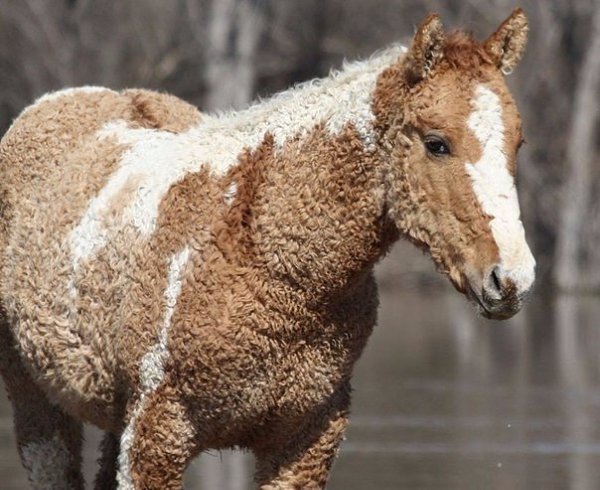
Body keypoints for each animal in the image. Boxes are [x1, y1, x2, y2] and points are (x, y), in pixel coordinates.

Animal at [0, 8, 536, 490]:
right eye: (436, 143)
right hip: (39, 403)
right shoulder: (157, 434)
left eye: (518, 143)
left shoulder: (305, 440)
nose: (512, 278)